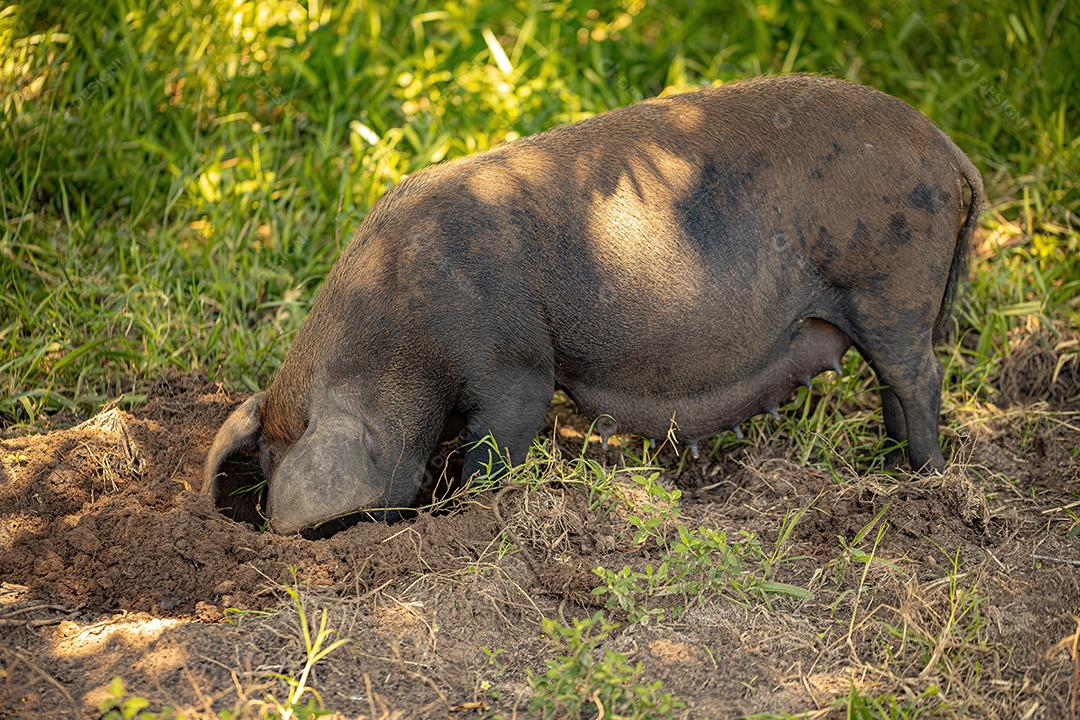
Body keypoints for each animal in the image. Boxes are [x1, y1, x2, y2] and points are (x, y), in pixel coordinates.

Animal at [204, 74, 989, 535]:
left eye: (276, 464)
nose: (275, 528)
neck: (399, 330)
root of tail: (949, 150)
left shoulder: (514, 364)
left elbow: (498, 443)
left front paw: (469, 518)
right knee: (899, 382)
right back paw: (890, 465)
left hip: (893, 283)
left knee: (918, 377)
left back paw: (924, 477)